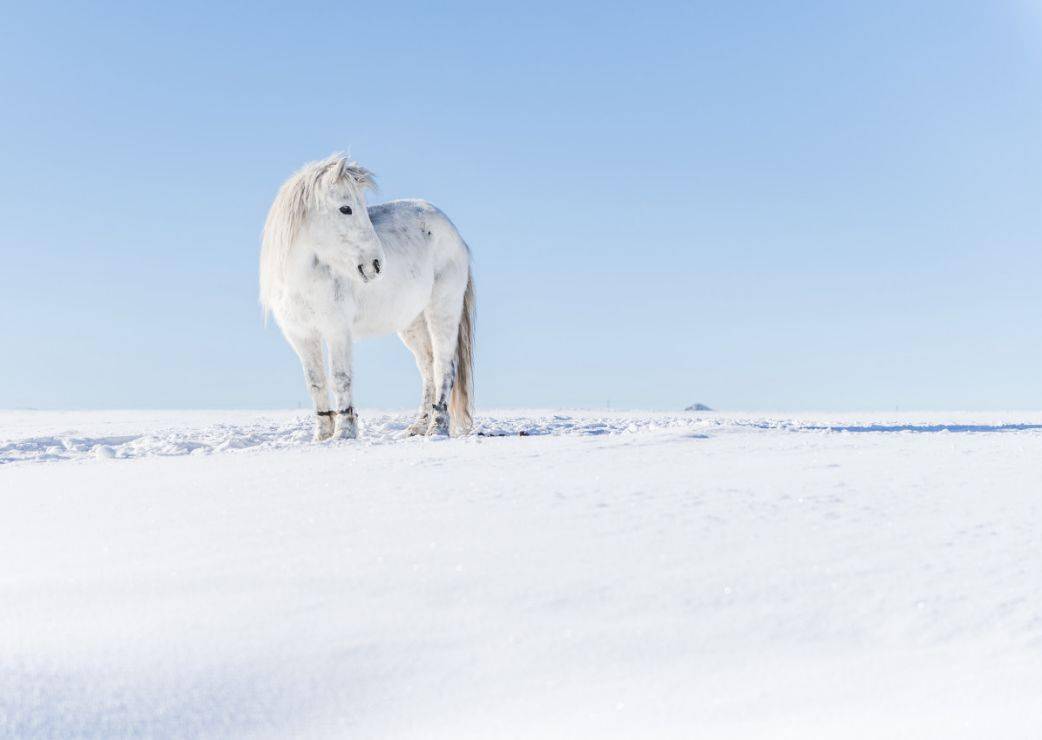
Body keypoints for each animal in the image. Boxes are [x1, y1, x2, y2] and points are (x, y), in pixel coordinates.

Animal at [260, 153, 477, 437]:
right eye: (345, 208)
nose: (375, 264)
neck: (303, 279)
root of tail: (454, 233)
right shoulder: (301, 335)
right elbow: (316, 383)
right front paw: (322, 436)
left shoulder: (337, 330)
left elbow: (340, 378)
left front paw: (344, 432)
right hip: (412, 322)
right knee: (428, 367)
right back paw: (418, 426)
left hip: (443, 310)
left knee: (444, 366)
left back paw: (437, 428)